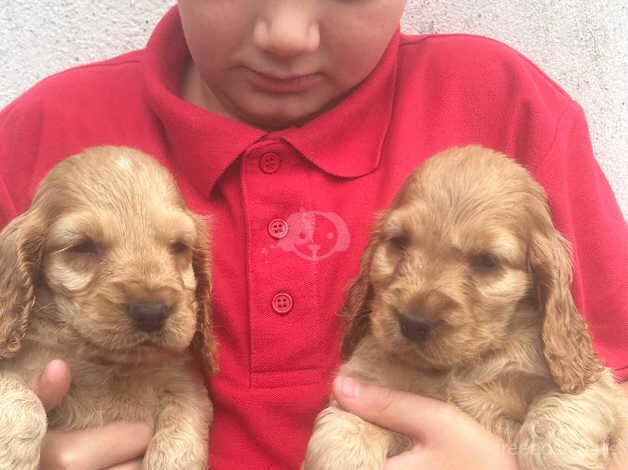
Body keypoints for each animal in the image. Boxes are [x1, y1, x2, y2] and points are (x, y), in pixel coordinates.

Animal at [0, 147, 216, 470]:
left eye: (179, 247)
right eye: (83, 247)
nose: (151, 312)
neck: (109, 365)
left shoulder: (186, 387)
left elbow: (181, 433)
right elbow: (20, 398)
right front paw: (12, 457)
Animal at [302, 145, 624, 468]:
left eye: (486, 261)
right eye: (399, 243)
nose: (414, 322)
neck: (459, 367)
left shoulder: (590, 383)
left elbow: (553, 421)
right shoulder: (363, 383)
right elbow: (342, 432)